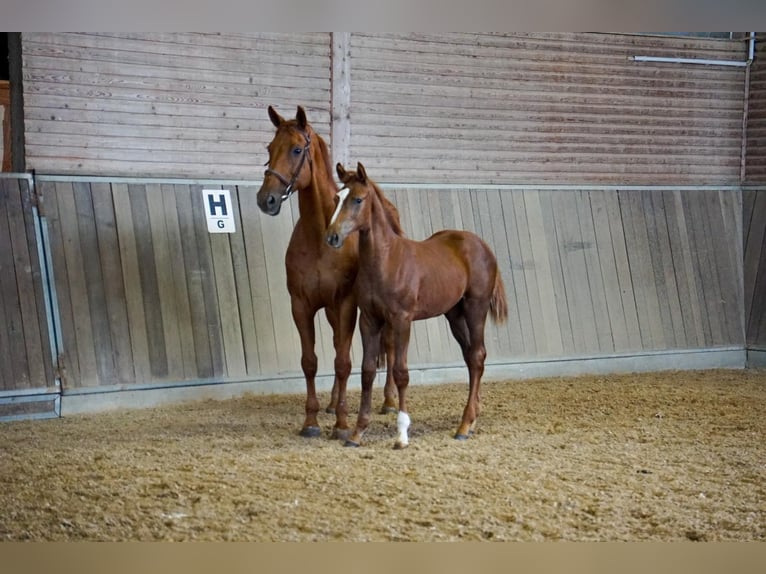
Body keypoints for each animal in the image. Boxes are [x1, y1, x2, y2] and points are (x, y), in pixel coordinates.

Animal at [256, 106, 399, 439]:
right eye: (270, 149)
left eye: (297, 149)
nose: (266, 199)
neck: (320, 236)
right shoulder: (302, 305)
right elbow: (311, 361)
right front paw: (311, 421)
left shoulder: (345, 304)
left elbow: (344, 362)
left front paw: (344, 425)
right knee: (336, 344)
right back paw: (333, 403)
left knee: (387, 344)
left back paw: (388, 401)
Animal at [326, 162, 508, 449]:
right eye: (336, 198)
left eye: (357, 199)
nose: (332, 237)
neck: (385, 260)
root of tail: (482, 245)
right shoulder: (369, 320)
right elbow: (367, 372)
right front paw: (357, 433)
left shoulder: (402, 320)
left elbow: (401, 372)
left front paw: (402, 434)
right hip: (454, 315)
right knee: (470, 357)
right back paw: (471, 419)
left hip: (475, 309)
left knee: (478, 356)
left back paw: (464, 425)